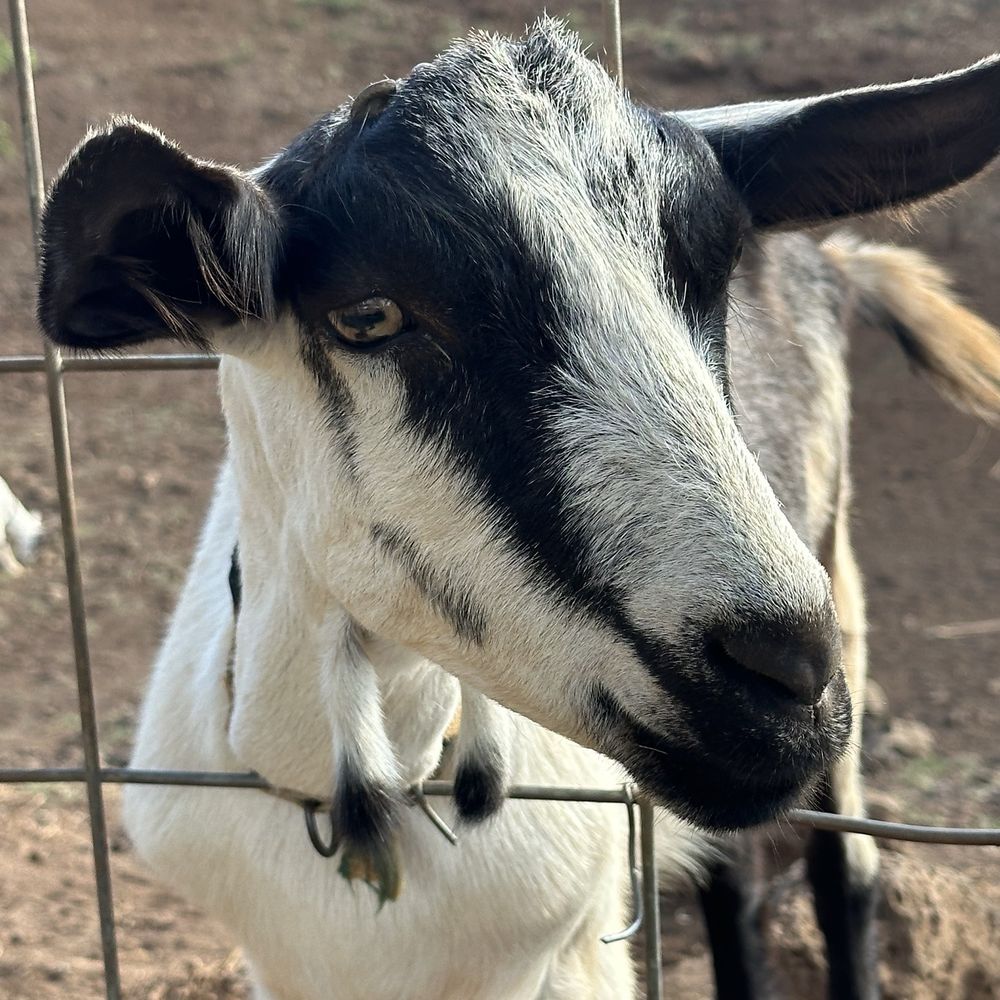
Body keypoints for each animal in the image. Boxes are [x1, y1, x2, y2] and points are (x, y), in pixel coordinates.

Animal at [35, 21, 1000, 1000]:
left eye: (717, 271)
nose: (787, 672)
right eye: (368, 315)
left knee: (843, 871)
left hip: (839, 565)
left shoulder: (572, 949)